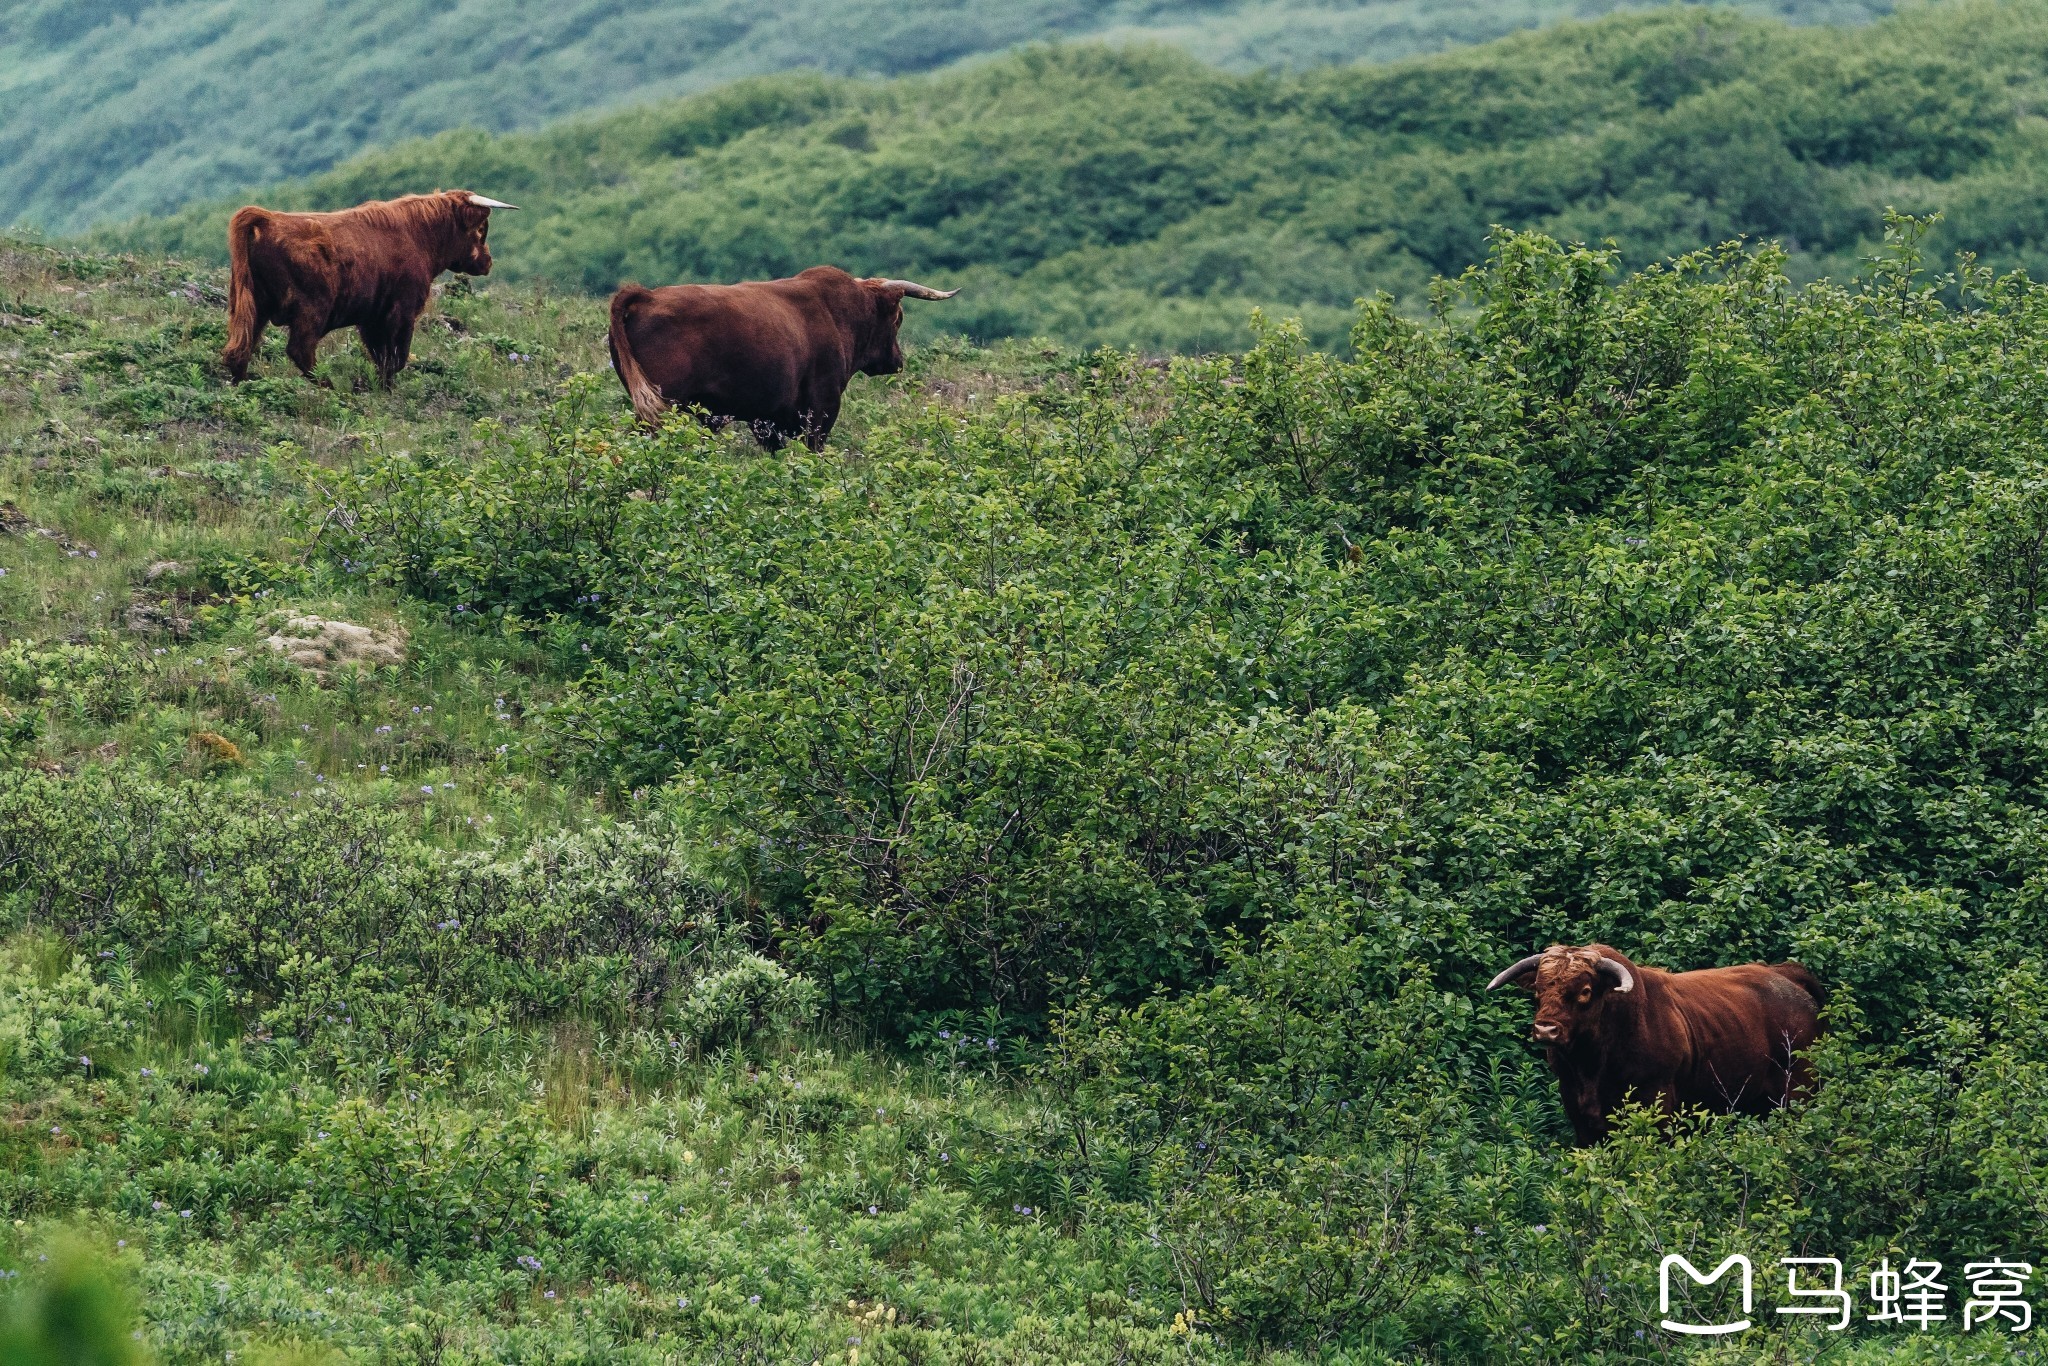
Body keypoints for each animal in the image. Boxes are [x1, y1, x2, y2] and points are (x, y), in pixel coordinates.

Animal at [218, 189, 512, 387]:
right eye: (481, 229)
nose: (487, 261)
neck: (419, 236)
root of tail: (266, 218)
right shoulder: (402, 310)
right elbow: (395, 357)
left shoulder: (372, 316)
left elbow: (380, 355)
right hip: (312, 307)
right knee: (299, 348)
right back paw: (329, 386)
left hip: (253, 305)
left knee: (241, 347)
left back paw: (243, 383)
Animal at [606, 266, 958, 454]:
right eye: (898, 318)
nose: (897, 360)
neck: (840, 314)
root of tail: (646, 297)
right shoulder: (821, 409)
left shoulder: (768, 420)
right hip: (663, 407)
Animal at [1490, 942, 1826, 1146]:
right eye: (1539, 989)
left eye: (1585, 991)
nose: (1546, 1029)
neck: (1593, 1066)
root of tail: (1786, 976)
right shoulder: (1581, 1118)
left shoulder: (1658, 1107)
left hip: (1796, 1094)